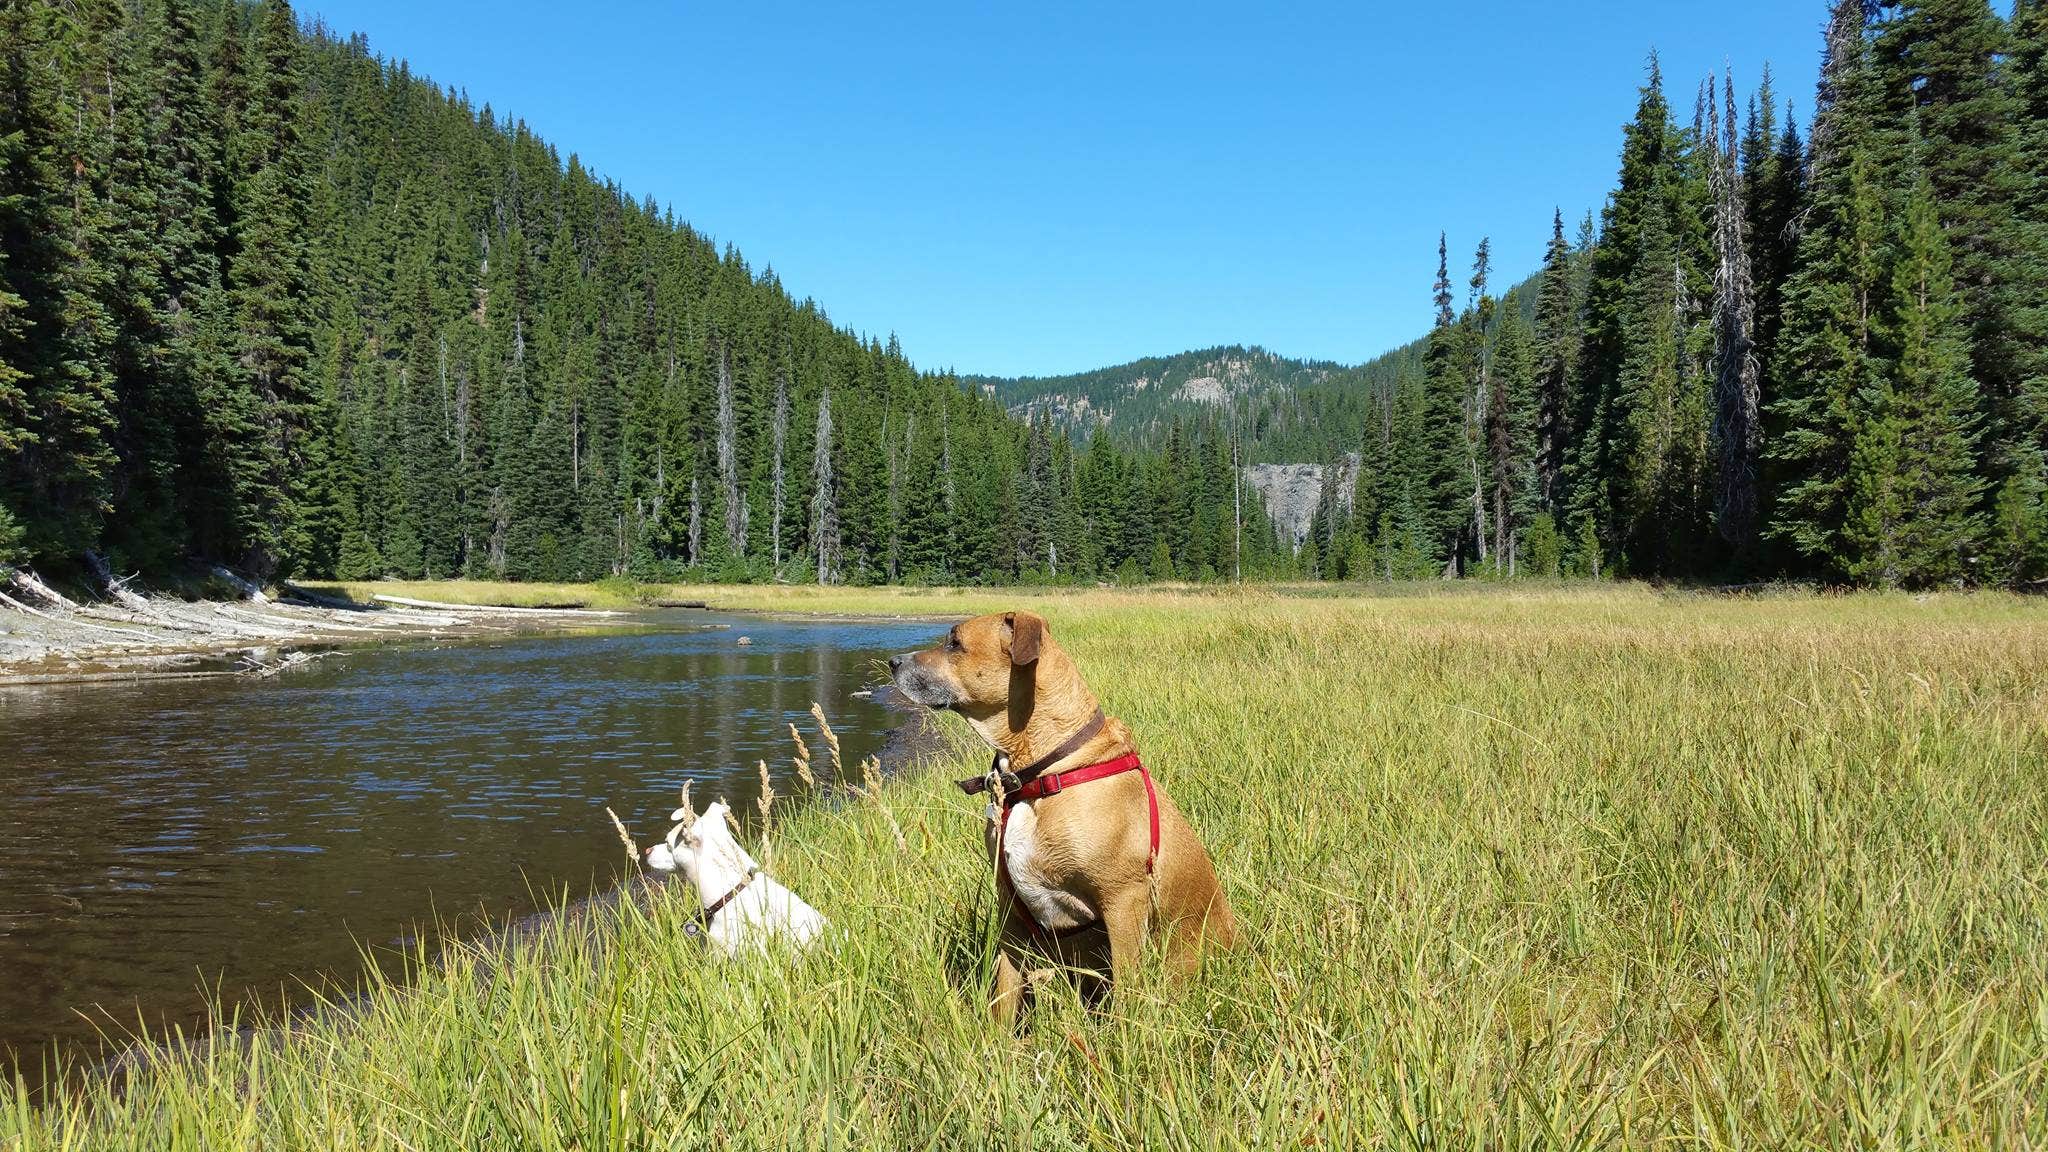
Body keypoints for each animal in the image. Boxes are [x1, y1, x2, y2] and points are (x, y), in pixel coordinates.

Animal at [884, 606, 1228, 1016]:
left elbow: (1127, 993)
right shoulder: (1010, 910)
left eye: (955, 643)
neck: (1039, 773)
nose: (892, 661)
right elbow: (1005, 993)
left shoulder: (1123, 902)